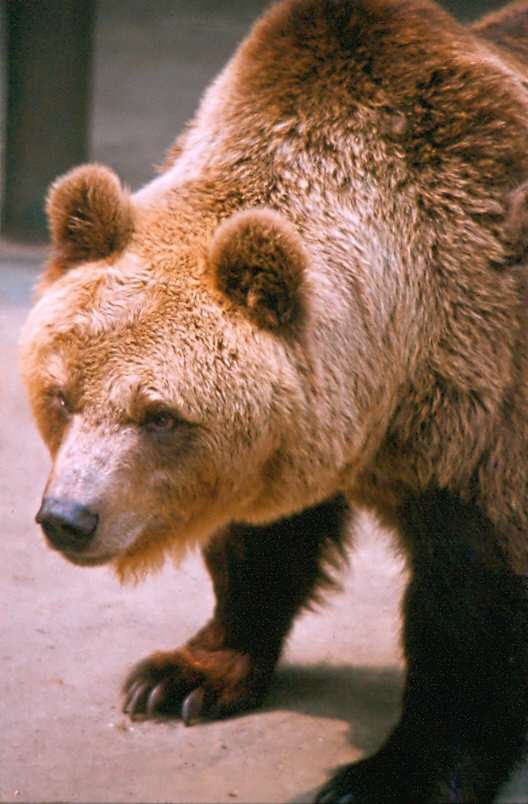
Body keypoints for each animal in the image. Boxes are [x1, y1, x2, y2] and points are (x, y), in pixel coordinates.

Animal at [22, 0, 528, 800]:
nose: (68, 517)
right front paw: (181, 675)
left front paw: (387, 772)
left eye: (159, 415)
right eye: (63, 395)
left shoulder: (484, 396)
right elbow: (257, 542)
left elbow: (470, 600)